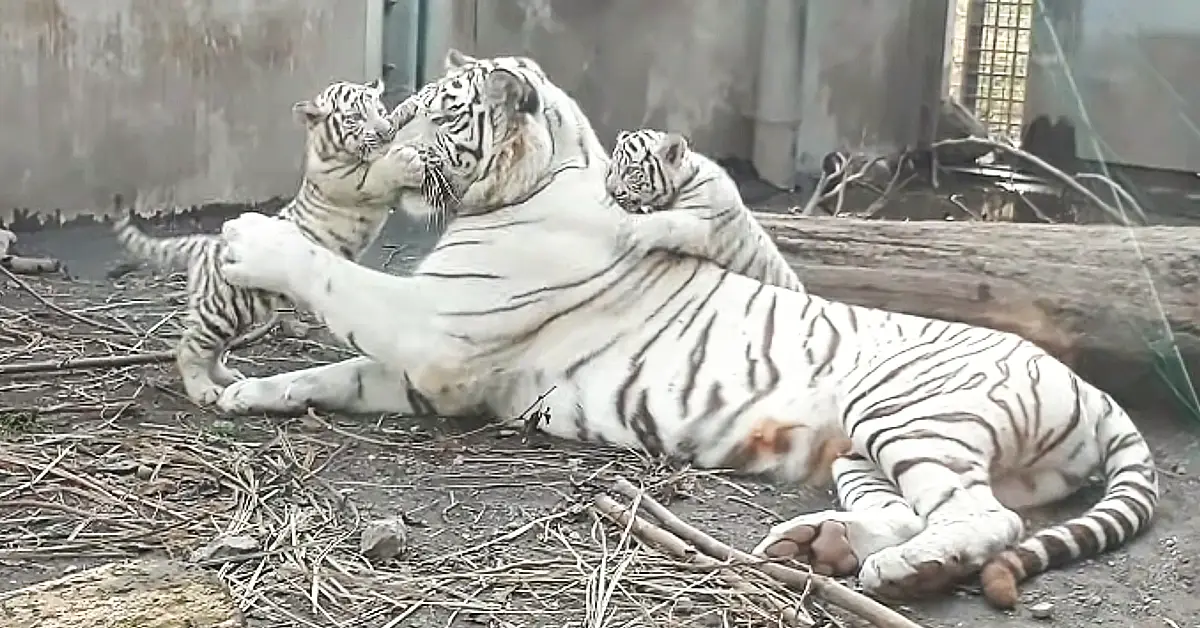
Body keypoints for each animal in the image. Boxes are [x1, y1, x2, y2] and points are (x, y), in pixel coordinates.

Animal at [211, 51, 1156, 612]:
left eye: (437, 113)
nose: (384, 147)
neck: (534, 182)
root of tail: (1093, 390)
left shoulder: (437, 330)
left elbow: (340, 283)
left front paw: (252, 240)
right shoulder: (437, 372)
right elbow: (334, 369)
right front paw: (244, 391)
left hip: (912, 412)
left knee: (983, 518)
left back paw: (899, 573)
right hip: (864, 450)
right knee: (915, 509)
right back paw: (823, 546)